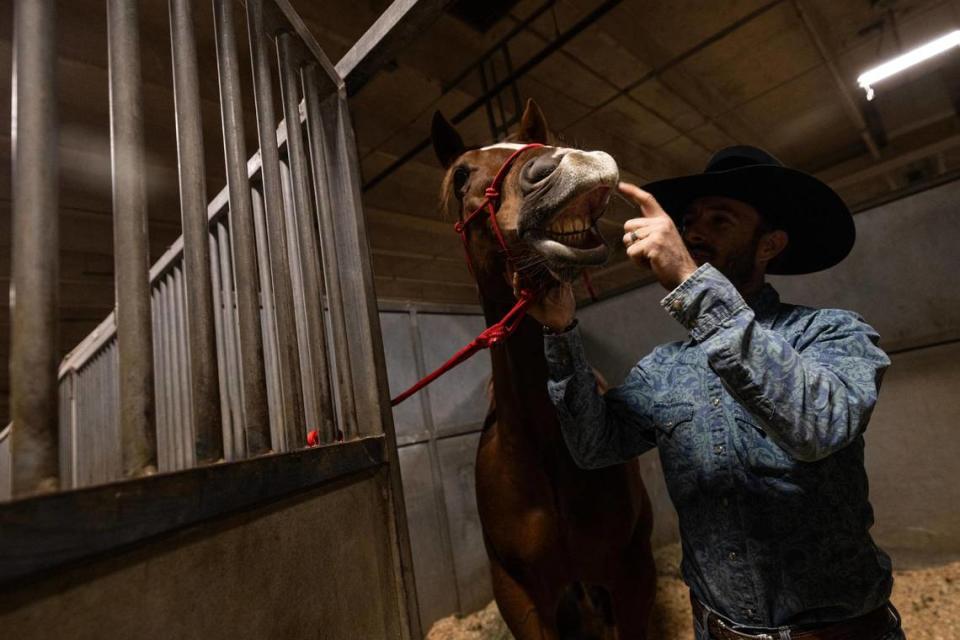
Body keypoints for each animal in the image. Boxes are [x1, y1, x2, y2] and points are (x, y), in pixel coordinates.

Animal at [432, 97, 656, 636]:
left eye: (534, 141)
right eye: (461, 175)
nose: (562, 166)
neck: (546, 454)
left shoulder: (632, 573)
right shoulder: (517, 595)